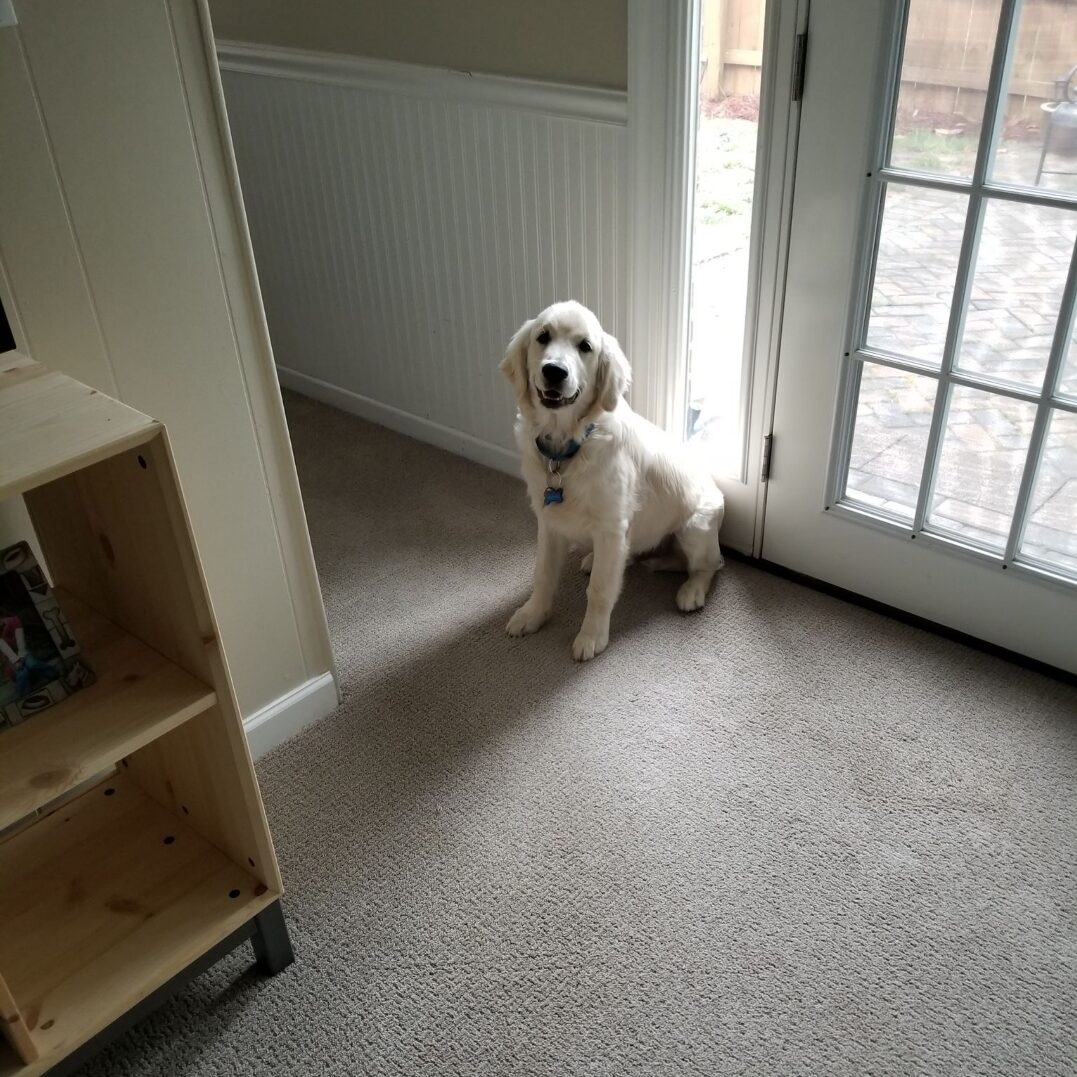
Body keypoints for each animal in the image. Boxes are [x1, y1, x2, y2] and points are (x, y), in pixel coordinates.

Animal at [501, 299, 723, 659]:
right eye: (542, 337)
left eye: (585, 346)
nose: (554, 371)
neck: (568, 445)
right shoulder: (549, 521)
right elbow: (544, 574)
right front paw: (532, 614)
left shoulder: (610, 526)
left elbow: (600, 589)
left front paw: (592, 636)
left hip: (695, 527)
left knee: (710, 564)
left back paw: (692, 591)